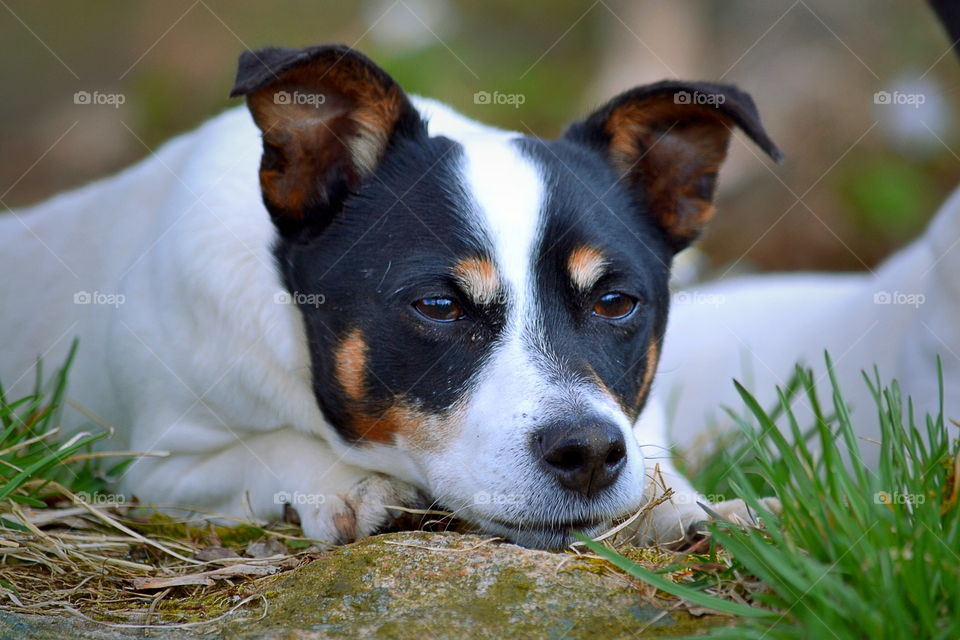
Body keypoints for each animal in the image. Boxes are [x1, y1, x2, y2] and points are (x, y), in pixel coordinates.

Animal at [3, 43, 792, 552]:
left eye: (615, 303)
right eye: (438, 307)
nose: (592, 453)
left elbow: (657, 472)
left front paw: (689, 504)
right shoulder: (158, 466)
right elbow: (273, 447)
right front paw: (351, 484)